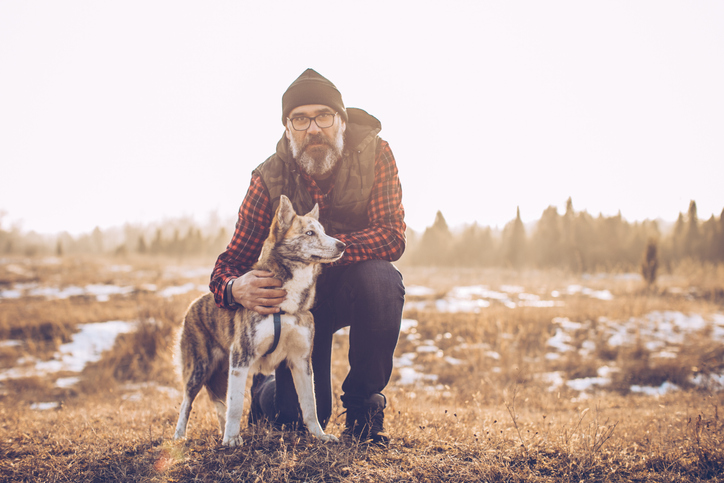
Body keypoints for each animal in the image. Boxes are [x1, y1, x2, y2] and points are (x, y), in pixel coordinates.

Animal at [175, 196, 346, 446]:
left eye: (323, 231)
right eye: (309, 233)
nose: (343, 245)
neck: (285, 306)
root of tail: (193, 303)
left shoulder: (301, 361)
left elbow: (310, 404)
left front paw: (319, 435)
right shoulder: (241, 358)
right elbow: (236, 405)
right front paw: (232, 440)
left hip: (222, 372)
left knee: (220, 405)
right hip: (200, 367)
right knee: (188, 402)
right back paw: (181, 435)